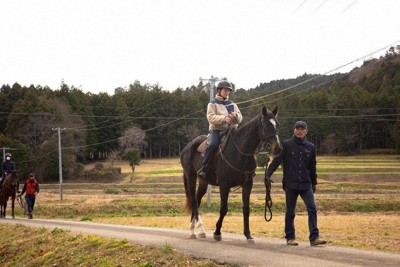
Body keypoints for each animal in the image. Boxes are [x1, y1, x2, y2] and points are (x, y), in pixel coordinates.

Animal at [181, 105, 282, 244]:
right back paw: (200, 229)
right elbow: (223, 208)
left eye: (277, 124)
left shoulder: (248, 184)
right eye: (266, 125)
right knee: (194, 201)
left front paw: (248, 235)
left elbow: (246, 209)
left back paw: (192, 230)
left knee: (196, 200)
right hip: (191, 176)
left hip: (203, 181)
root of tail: (187, 148)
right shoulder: (225, 185)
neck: (240, 153)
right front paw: (217, 233)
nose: (278, 148)